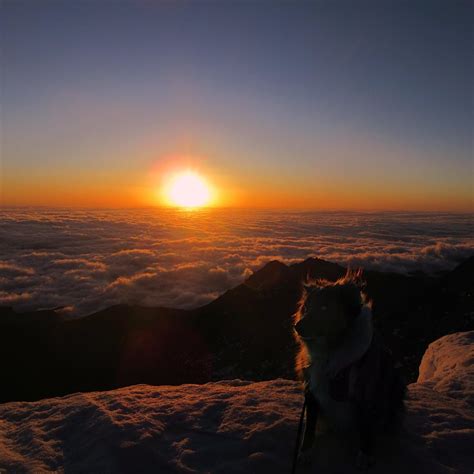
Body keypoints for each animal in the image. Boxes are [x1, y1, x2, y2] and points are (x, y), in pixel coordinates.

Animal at [294, 270, 406, 470]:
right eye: (306, 307)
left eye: (324, 307)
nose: (297, 326)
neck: (332, 350)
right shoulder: (311, 388)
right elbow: (310, 425)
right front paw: (305, 452)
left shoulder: (367, 390)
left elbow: (366, 425)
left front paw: (365, 454)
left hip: (396, 382)